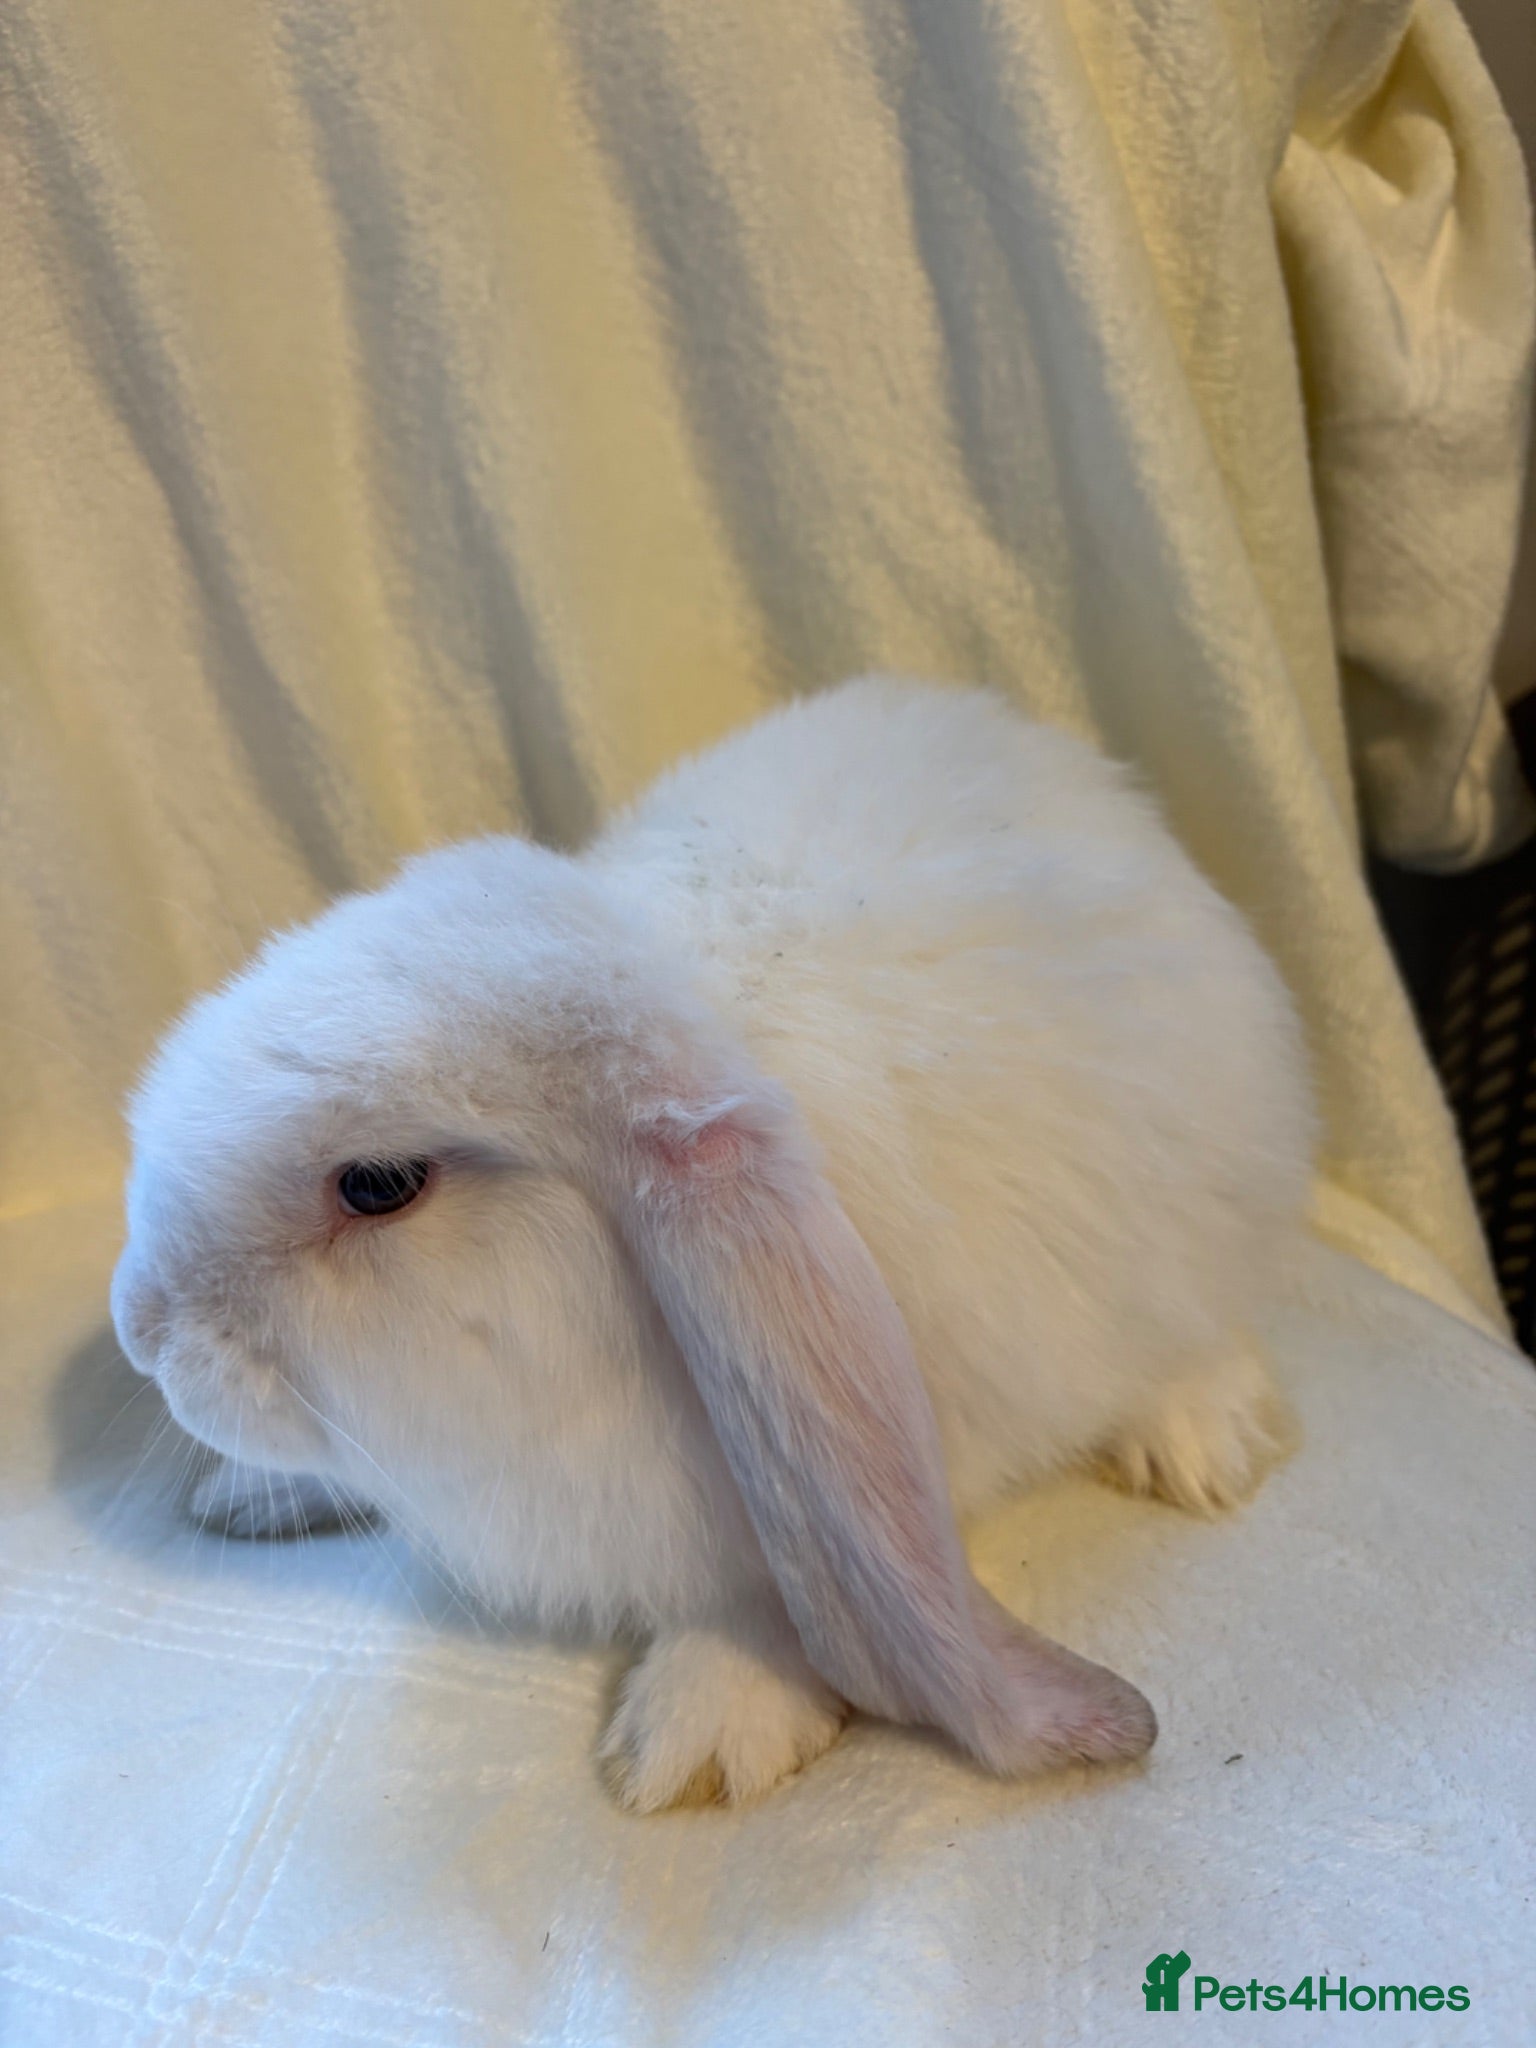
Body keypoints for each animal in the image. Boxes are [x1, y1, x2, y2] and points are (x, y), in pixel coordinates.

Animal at [110, 676, 1315, 1810]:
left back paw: (1204, 1446)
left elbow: (793, 1579)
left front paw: (697, 1731)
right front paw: (244, 1497)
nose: (139, 1328)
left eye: (378, 1186)